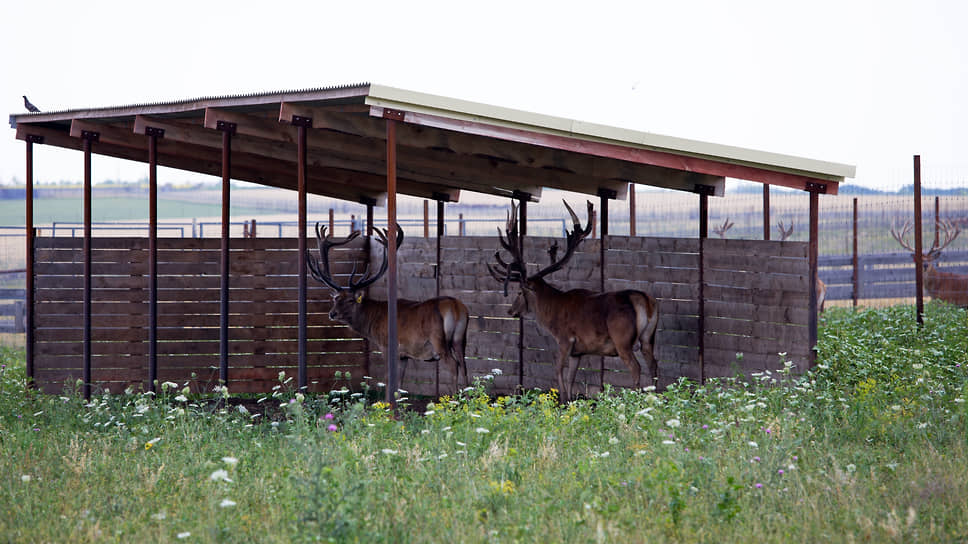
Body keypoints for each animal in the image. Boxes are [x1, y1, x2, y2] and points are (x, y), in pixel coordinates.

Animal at [304, 224, 466, 392]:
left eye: (350, 300)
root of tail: (455, 307)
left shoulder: (387, 347)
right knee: (464, 366)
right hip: (460, 339)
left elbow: (389, 380)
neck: (373, 322)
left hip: (438, 340)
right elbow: (399, 383)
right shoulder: (404, 355)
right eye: (336, 298)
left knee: (453, 365)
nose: (332, 313)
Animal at [488, 201, 660, 404]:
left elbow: (558, 370)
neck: (551, 314)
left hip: (622, 339)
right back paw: (657, 398)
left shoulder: (565, 339)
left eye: (520, 292)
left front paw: (562, 400)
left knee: (636, 367)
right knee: (653, 364)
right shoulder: (578, 351)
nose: (511, 311)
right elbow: (571, 377)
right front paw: (570, 401)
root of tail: (644, 300)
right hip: (649, 337)